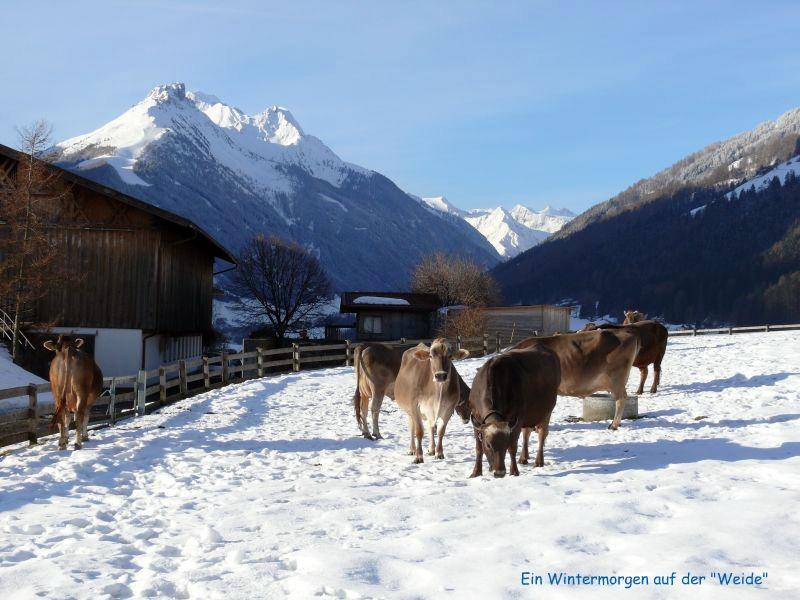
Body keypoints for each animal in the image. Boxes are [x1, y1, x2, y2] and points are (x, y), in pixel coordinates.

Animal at [466, 346, 560, 478]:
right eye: (488, 445)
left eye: (505, 444)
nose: (499, 473)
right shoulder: (476, 419)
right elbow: (478, 449)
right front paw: (476, 472)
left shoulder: (517, 419)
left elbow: (512, 447)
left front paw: (514, 471)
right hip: (528, 416)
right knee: (526, 433)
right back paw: (523, 458)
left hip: (546, 412)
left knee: (542, 434)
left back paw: (538, 461)